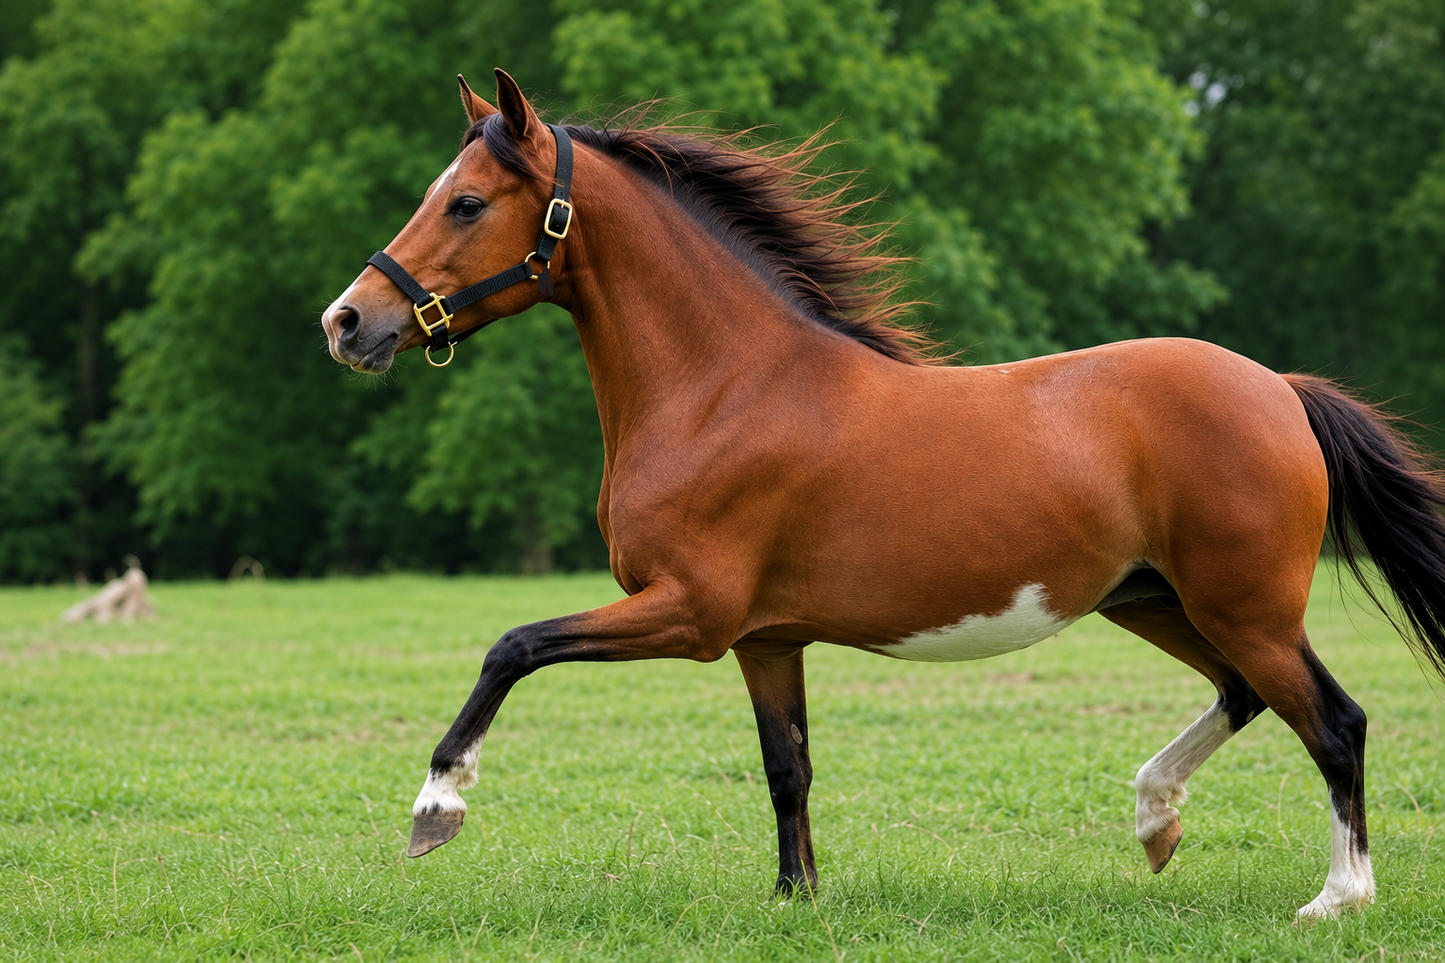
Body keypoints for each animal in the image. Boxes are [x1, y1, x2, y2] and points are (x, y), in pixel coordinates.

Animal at [321, 69, 1445, 919]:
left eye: (466, 202)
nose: (348, 322)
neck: (725, 388)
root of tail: (1279, 390)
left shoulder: (689, 613)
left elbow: (511, 646)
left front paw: (435, 806)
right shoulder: (764, 639)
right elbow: (787, 769)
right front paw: (796, 898)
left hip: (1241, 605)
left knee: (1333, 721)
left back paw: (1335, 897)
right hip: (1155, 601)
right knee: (1247, 696)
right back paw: (1153, 820)